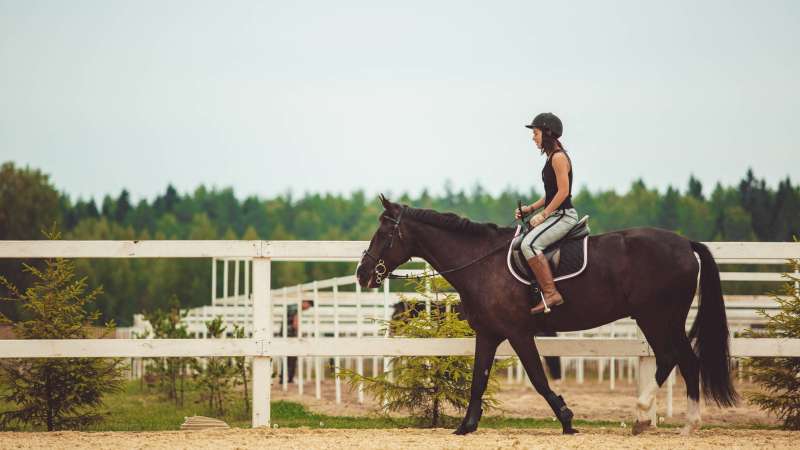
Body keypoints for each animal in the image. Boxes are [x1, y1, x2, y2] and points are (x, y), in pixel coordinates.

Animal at [356, 196, 736, 436]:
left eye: (384, 233)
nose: (362, 273)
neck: (483, 263)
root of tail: (686, 244)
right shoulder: (489, 334)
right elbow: (479, 379)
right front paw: (466, 426)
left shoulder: (518, 332)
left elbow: (538, 379)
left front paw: (567, 420)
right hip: (663, 320)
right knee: (683, 360)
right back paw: (673, 424)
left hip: (657, 318)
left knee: (675, 359)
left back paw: (656, 418)